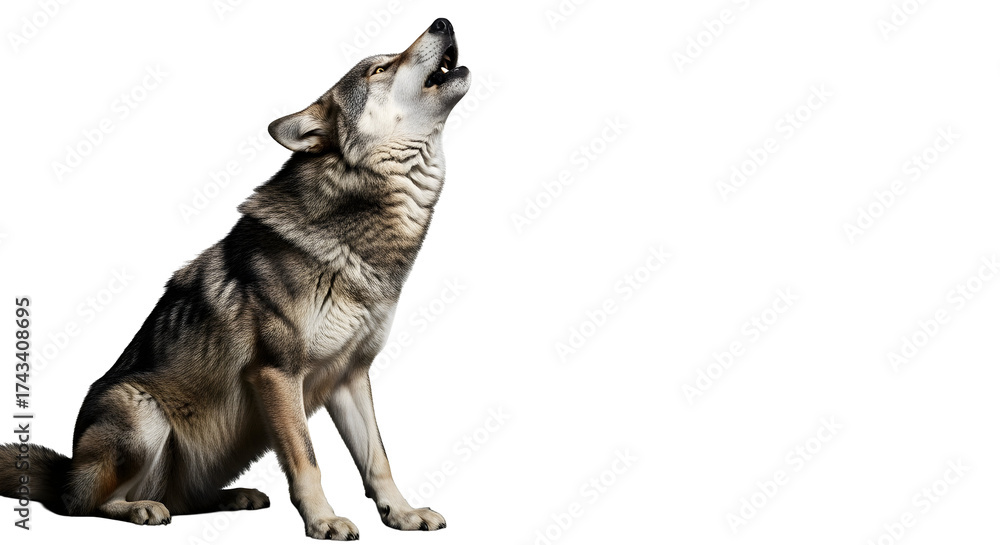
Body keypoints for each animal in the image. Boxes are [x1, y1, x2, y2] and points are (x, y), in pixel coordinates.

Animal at [0, 17, 470, 541]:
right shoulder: (277, 373)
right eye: (380, 69)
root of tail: (67, 467)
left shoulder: (350, 377)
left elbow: (378, 459)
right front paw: (323, 520)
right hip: (143, 415)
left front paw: (402, 513)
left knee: (181, 499)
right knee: (82, 503)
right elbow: (308, 460)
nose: (443, 21)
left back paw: (234, 497)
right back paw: (140, 509)